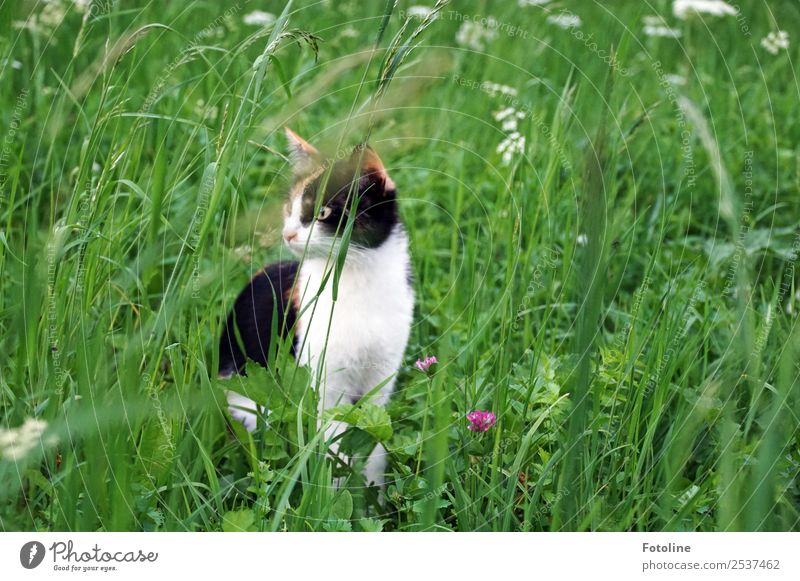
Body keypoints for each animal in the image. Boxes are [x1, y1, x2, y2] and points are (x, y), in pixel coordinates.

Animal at [222, 129, 416, 488]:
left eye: (323, 212)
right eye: (291, 207)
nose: (288, 233)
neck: (355, 280)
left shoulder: (383, 375)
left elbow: (375, 439)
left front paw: (374, 493)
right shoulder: (323, 378)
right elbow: (333, 442)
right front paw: (335, 492)